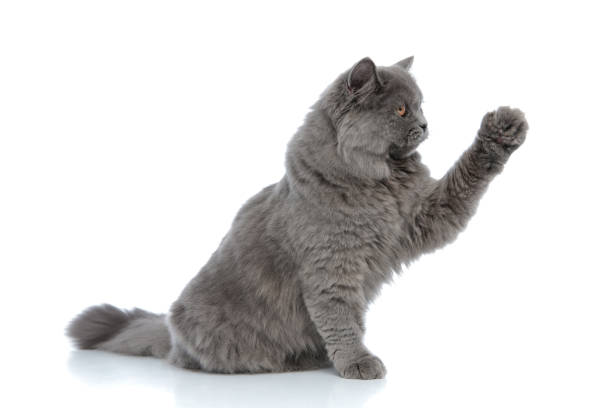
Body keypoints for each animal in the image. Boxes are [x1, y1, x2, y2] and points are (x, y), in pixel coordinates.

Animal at [65, 56, 524, 380]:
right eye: (400, 111)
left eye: (421, 107)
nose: (427, 125)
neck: (379, 182)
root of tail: (170, 329)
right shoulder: (331, 268)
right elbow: (340, 319)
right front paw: (357, 362)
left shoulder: (422, 218)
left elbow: (466, 177)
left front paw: (504, 130)